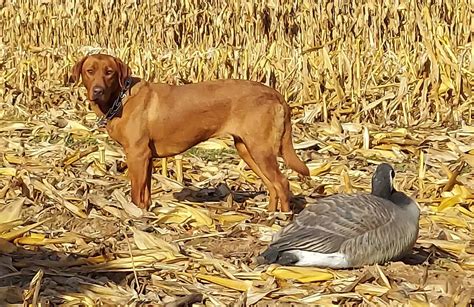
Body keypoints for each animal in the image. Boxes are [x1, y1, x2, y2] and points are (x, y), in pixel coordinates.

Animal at [69, 54, 308, 213]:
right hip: (247, 149)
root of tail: (275, 93)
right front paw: (146, 213)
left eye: (109, 72)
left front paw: (134, 215)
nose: (97, 90)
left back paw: (282, 218)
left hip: (260, 149)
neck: (120, 99)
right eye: (90, 71)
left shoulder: (137, 154)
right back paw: (268, 214)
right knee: (272, 185)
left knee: (282, 182)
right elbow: (146, 193)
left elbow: (136, 192)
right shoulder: (147, 158)